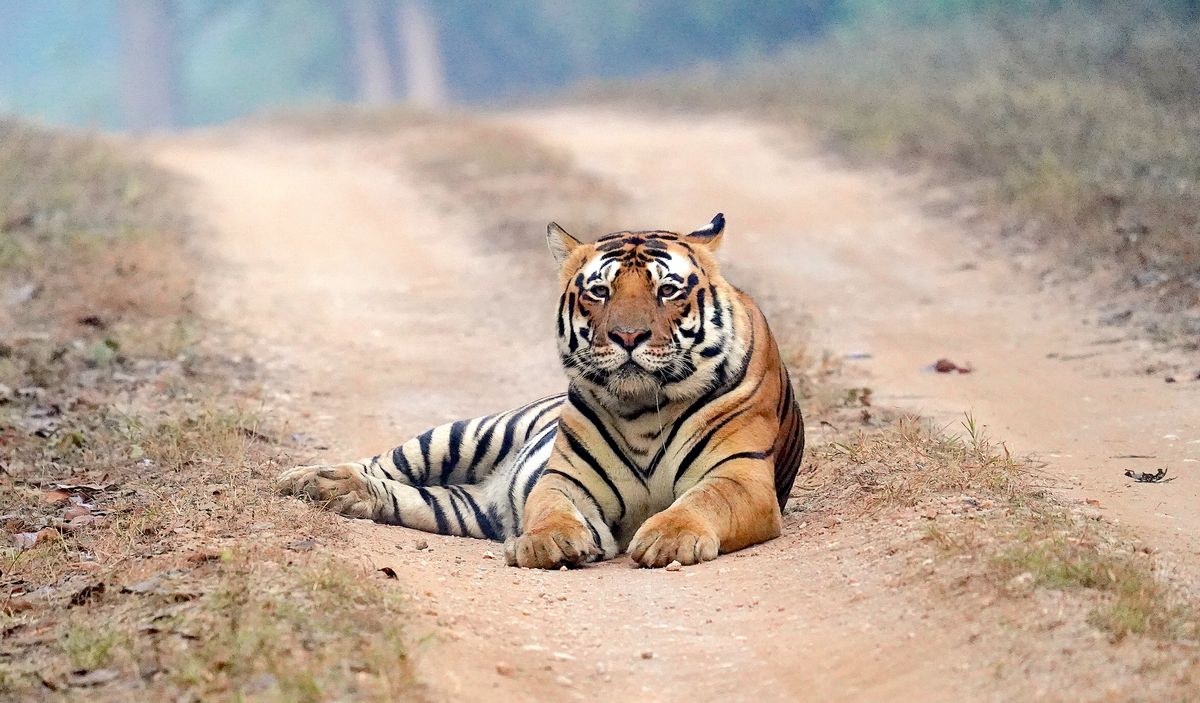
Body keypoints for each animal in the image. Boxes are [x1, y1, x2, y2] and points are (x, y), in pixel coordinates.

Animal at [276, 213, 804, 568]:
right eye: (600, 291)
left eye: (668, 291)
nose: (628, 336)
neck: (642, 411)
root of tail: (488, 491)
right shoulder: (565, 478)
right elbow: (550, 507)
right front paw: (549, 542)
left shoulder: (741, 476)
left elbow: (701, 501)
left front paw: (667, 538)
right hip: (463, 435)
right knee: (386, 463)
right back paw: (310, 479)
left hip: (461, 508)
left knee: (408, 495)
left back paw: (340, 494)